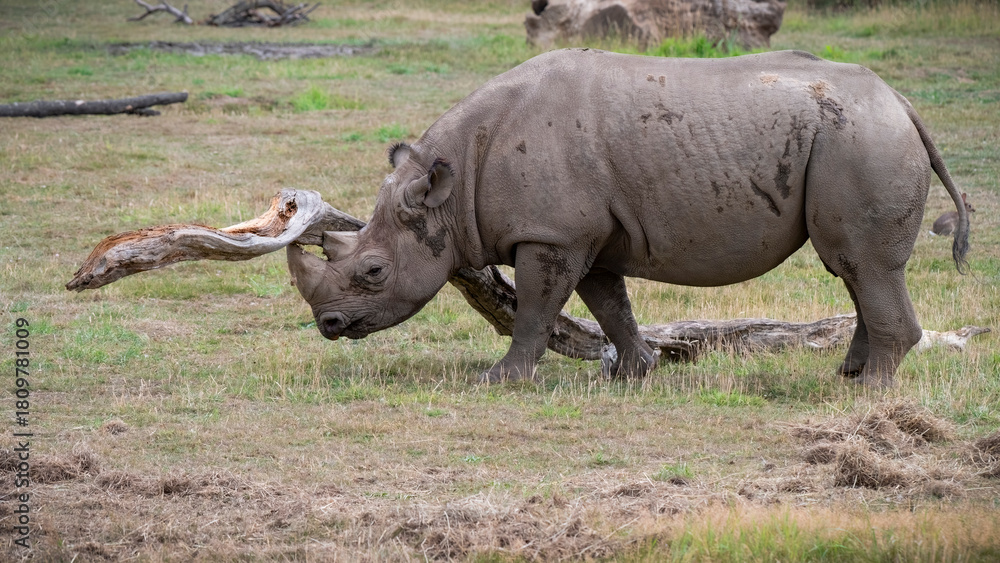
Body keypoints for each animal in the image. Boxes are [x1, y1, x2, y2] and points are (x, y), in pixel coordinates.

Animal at [287, 48, 969, 386]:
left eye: (373, 271)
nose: (329, 325)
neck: (450, 188)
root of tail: (901, 102)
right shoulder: (585, 233)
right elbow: (609, 302)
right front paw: (637, 373)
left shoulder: (552, 233)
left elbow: (535, 311)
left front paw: (498, 381)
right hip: (854, 137)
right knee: (854, 271)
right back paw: (851, 377)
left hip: (860, 140)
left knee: (861, 264)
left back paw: (866, 391)